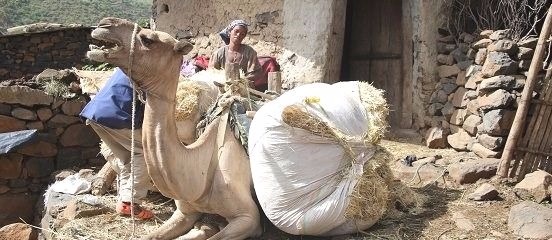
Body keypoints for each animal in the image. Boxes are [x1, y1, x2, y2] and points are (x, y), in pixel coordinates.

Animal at [88, 17, 260, 239]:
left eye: (148, 39)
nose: (104, 25)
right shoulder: (184, 213)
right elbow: (153, 235)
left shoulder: (249, 218)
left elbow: (219, 233)